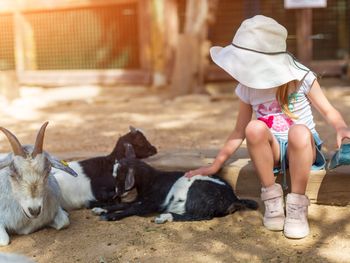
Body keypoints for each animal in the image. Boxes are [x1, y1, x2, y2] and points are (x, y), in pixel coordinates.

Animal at [91, 143, 258, 224]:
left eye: (119, 176)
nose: (116, 194)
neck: (152, 181)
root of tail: (233, 199)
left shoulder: (152, 203)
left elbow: (131, 209)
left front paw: (109, 216)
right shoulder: (140, 199)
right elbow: (125, 205)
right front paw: (100, 208)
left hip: (197, 194)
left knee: (199, 216)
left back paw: (165, 217)